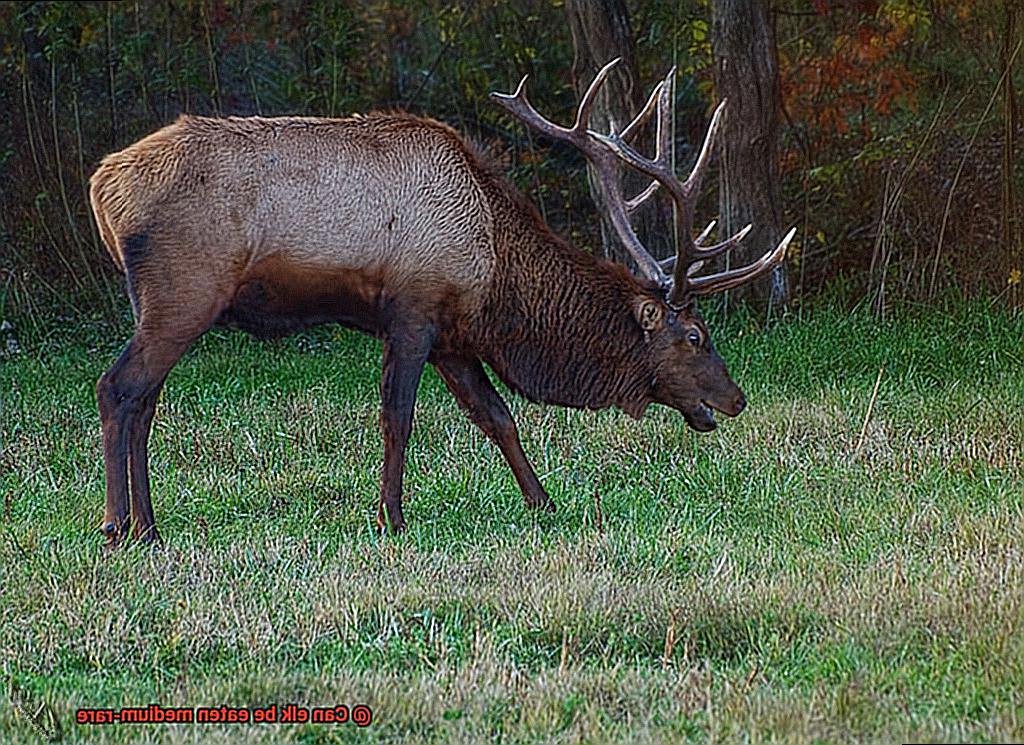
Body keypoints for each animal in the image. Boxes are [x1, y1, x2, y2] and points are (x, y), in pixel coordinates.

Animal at [88, 59, 790, 548]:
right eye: (695, 335)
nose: (736, 398)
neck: (496, 279)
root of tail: (102, 185)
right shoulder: (413, 311)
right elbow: (397, 416)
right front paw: (390, 518)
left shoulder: (454, 336)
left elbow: (498, 416)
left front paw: (544, 502)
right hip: (184, 289)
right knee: (119, 386)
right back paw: (119, 528)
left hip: (157, 301)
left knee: (145, 400)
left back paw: (148, 525)